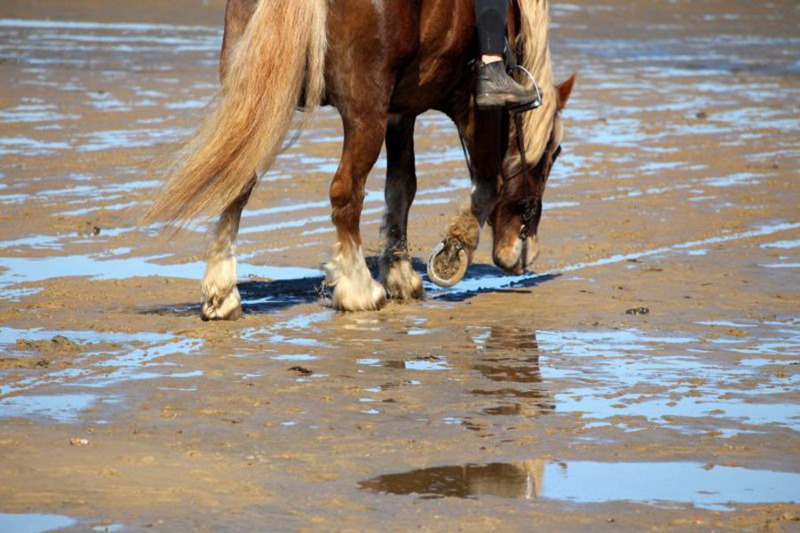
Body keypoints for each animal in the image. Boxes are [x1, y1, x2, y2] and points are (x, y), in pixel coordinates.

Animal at [145, 0, 576, 316]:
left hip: (257, 99)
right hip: (363, 113)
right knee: (345, 190)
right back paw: (358, 288)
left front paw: (400, 273)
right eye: (553, 153)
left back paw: (222, 293)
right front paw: (453, 253)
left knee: (238, 182)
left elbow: (402, 188)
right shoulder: (477, 110)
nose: (524, 252)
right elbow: (489, 184)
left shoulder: (400, 113)